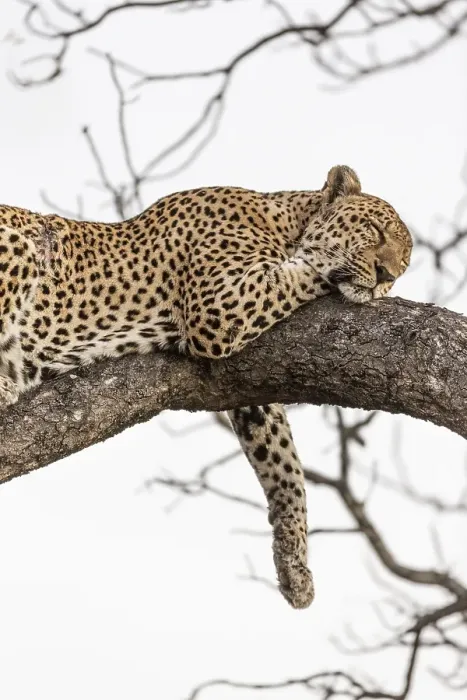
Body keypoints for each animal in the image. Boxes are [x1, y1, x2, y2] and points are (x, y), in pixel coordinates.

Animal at [0, 165, 412, 609]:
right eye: (374, 229)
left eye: (405, 261)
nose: (387, 276)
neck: (284, 222)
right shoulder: (220, 304)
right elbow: (302, 270)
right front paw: (322, 260)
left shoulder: (249, 387)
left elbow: (284, 463)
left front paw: (295, 564)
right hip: (19, 242)